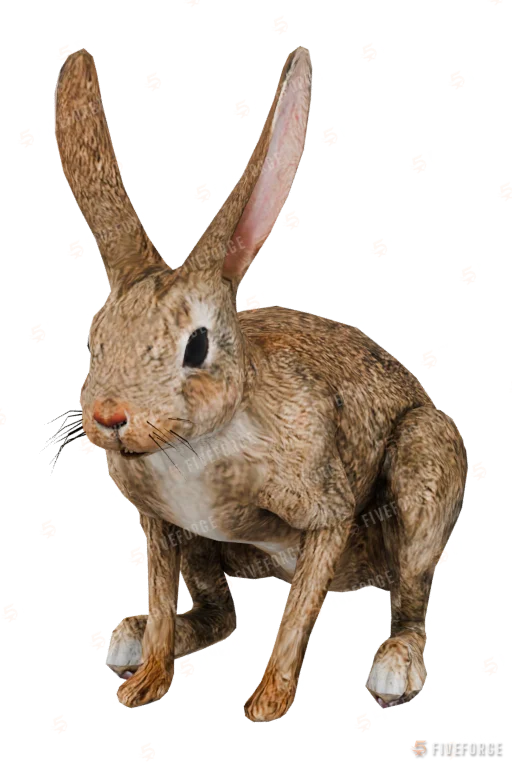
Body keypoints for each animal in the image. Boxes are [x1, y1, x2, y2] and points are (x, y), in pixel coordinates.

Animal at [55, 46, 468, 722]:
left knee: (411, 590)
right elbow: (165, 601)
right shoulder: (163, 526)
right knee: (218, 614)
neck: (194, 448)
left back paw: (393, 669)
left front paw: (268, 703)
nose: (110, 417)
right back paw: (130, 639)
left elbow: (295, 615)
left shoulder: (326, 514)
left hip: (421, 469)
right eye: (95, 336)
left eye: (197, 345)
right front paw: (144, 685)